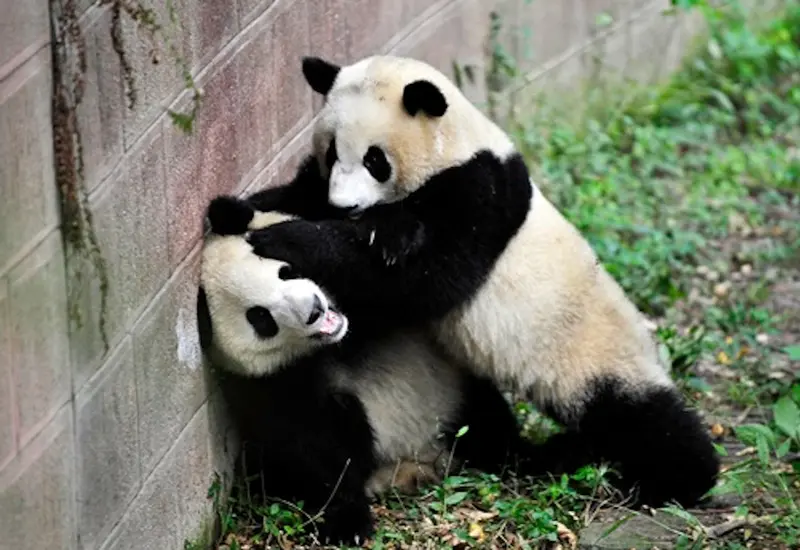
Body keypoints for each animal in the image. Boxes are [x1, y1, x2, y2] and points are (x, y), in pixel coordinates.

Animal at [197, 195, 542, 545]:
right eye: (262, 320)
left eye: (285, 271)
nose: (314, 310)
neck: (340, 341)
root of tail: (426, 457)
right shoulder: (273, 382)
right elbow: (310, 448)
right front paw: (346, 522)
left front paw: (390, 233)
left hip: (456, 393)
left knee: (486, 416)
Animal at [231, 54, 720, 509]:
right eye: (332, 151)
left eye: (375, 159)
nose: (345, 206)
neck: (457, 144)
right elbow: (303, 195)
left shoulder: (478, 194)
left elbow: (421, 280)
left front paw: (291, 240)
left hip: (593, 359)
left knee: (645, 421)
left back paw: (678, 481)